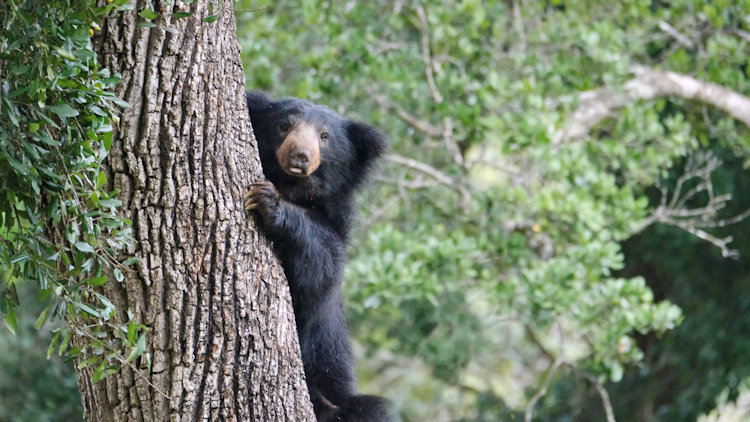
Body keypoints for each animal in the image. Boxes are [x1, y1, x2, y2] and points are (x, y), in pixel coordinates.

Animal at [243, 91, 394, 422]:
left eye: (324, 136)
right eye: (284, 126)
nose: (299, 156)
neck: (295, 188)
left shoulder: (336, 219)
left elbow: (323, 264)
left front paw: (269, 201)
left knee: (371, 409)